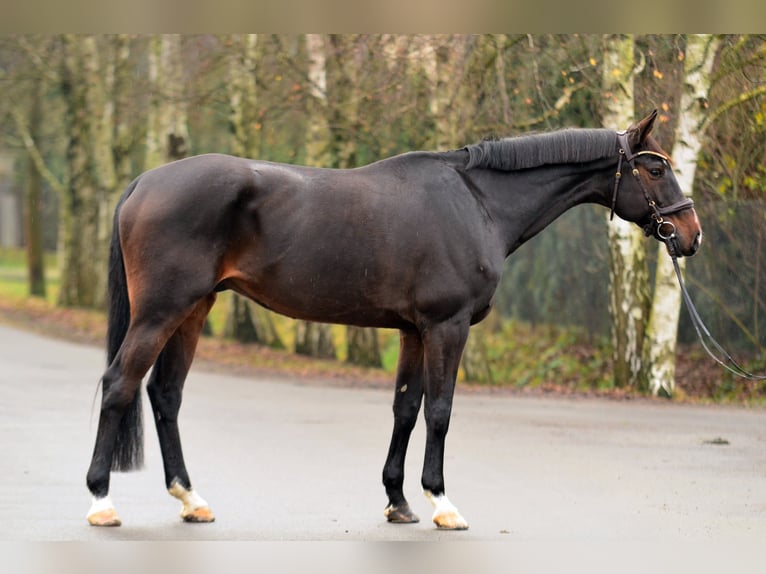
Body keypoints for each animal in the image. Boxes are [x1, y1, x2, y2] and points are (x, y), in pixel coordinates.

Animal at [85, 110, 702, 529]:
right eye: (653, 168)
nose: (690, 234)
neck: (477, 201)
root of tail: (144, 182)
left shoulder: (413, 330)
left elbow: (406, 409)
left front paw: (399, 501)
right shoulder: (447, 326)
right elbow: (440, 412)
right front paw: (442, 502)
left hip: (194, 309)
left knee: (165, 394)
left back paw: (191, 499)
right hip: (161, 311)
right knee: (120, 385)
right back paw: (101, 501)